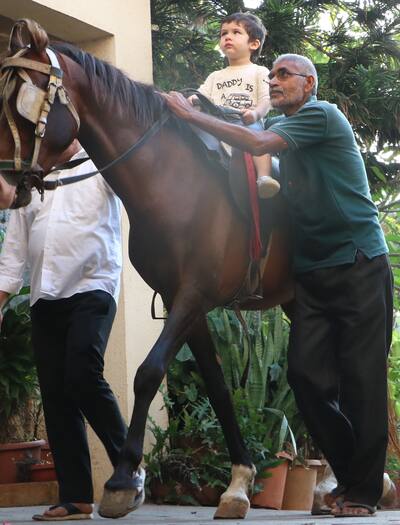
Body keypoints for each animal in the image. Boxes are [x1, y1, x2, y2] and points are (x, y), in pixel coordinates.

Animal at [0, 19, 294, 516]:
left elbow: (148, 373)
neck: (174, 183)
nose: (4, 186)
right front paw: (239, 480)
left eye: (23, 100)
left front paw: (122, 478)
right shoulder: (185, 301)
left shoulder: (195, 293)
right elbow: (217, 386)